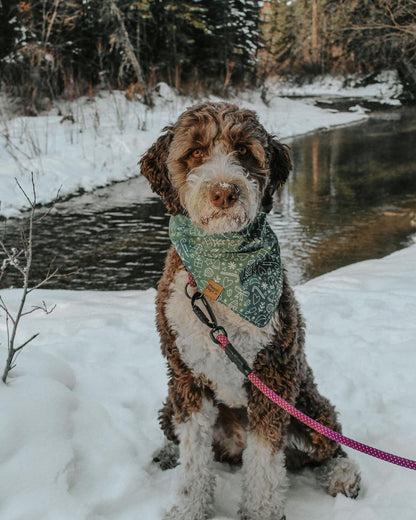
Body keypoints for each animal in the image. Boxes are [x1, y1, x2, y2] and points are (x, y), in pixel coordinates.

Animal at [141, 102, 360, 520]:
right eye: (195, 152)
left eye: (243, 151)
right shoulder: (186, 377)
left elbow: (264, 462)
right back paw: (165, 453)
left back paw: (343, 475)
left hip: (308, 407)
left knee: (328, 446)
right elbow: (194, 458)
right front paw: (189, 506)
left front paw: (261, 511)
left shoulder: (273, 375)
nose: (224, 191)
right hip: (169, 398)